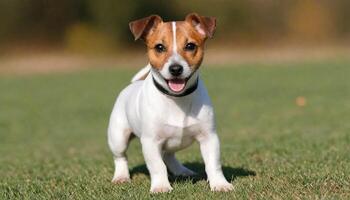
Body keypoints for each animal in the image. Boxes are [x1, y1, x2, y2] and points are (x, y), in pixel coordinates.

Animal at [106, 12, 232, 194]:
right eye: (159, 47)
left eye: (190, 46)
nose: (176, 69)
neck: (177, 99)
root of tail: (132, 85)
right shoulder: (151, 142)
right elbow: (157, 166)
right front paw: (161, 186)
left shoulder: (209, 137)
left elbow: (213, 163)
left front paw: (220, 184)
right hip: (118, 137)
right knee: (121, 157)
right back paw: (121, 176)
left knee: (168, 155)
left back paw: (182, 170)